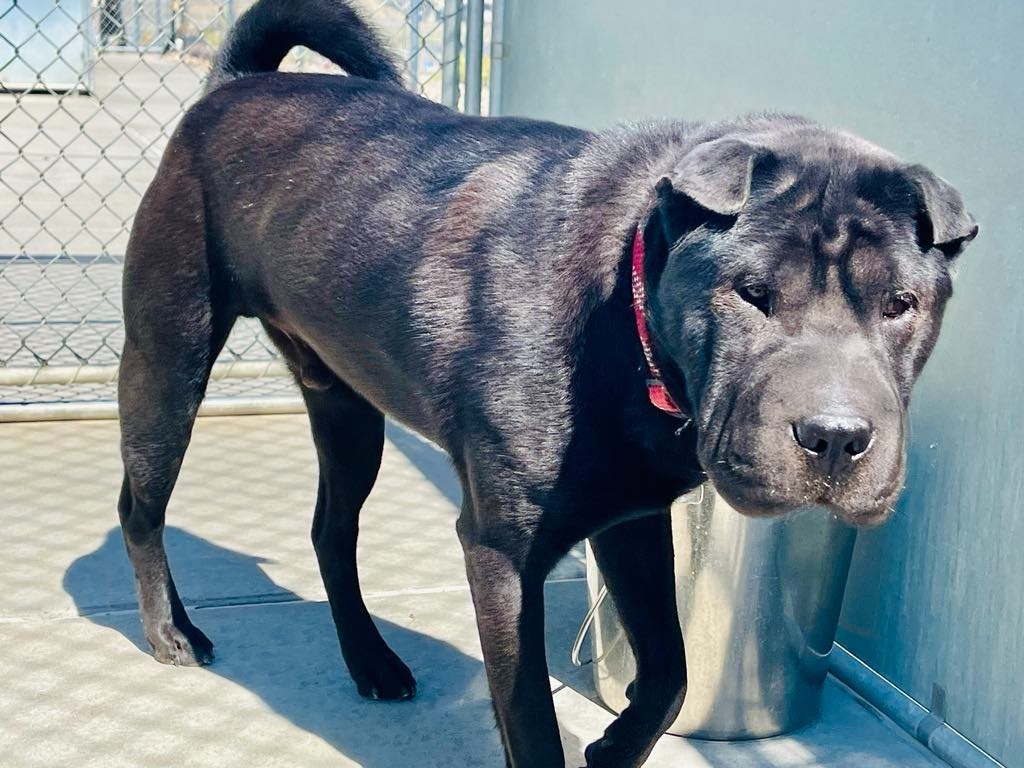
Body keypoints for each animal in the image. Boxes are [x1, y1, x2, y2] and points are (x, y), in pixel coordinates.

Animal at [116, 3, 978, 765]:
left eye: (901, 304)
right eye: (751, 293)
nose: (835, 437)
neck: (625, 314)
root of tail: (232, 83)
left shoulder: (629, 518)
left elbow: (670, 674)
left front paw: (616, 745)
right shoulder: (504, 553)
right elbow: (529, 719)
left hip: (348, 409)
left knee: (332, 529)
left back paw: (371, 662)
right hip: (168, 361)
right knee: (140, 507)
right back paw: (171, 633)